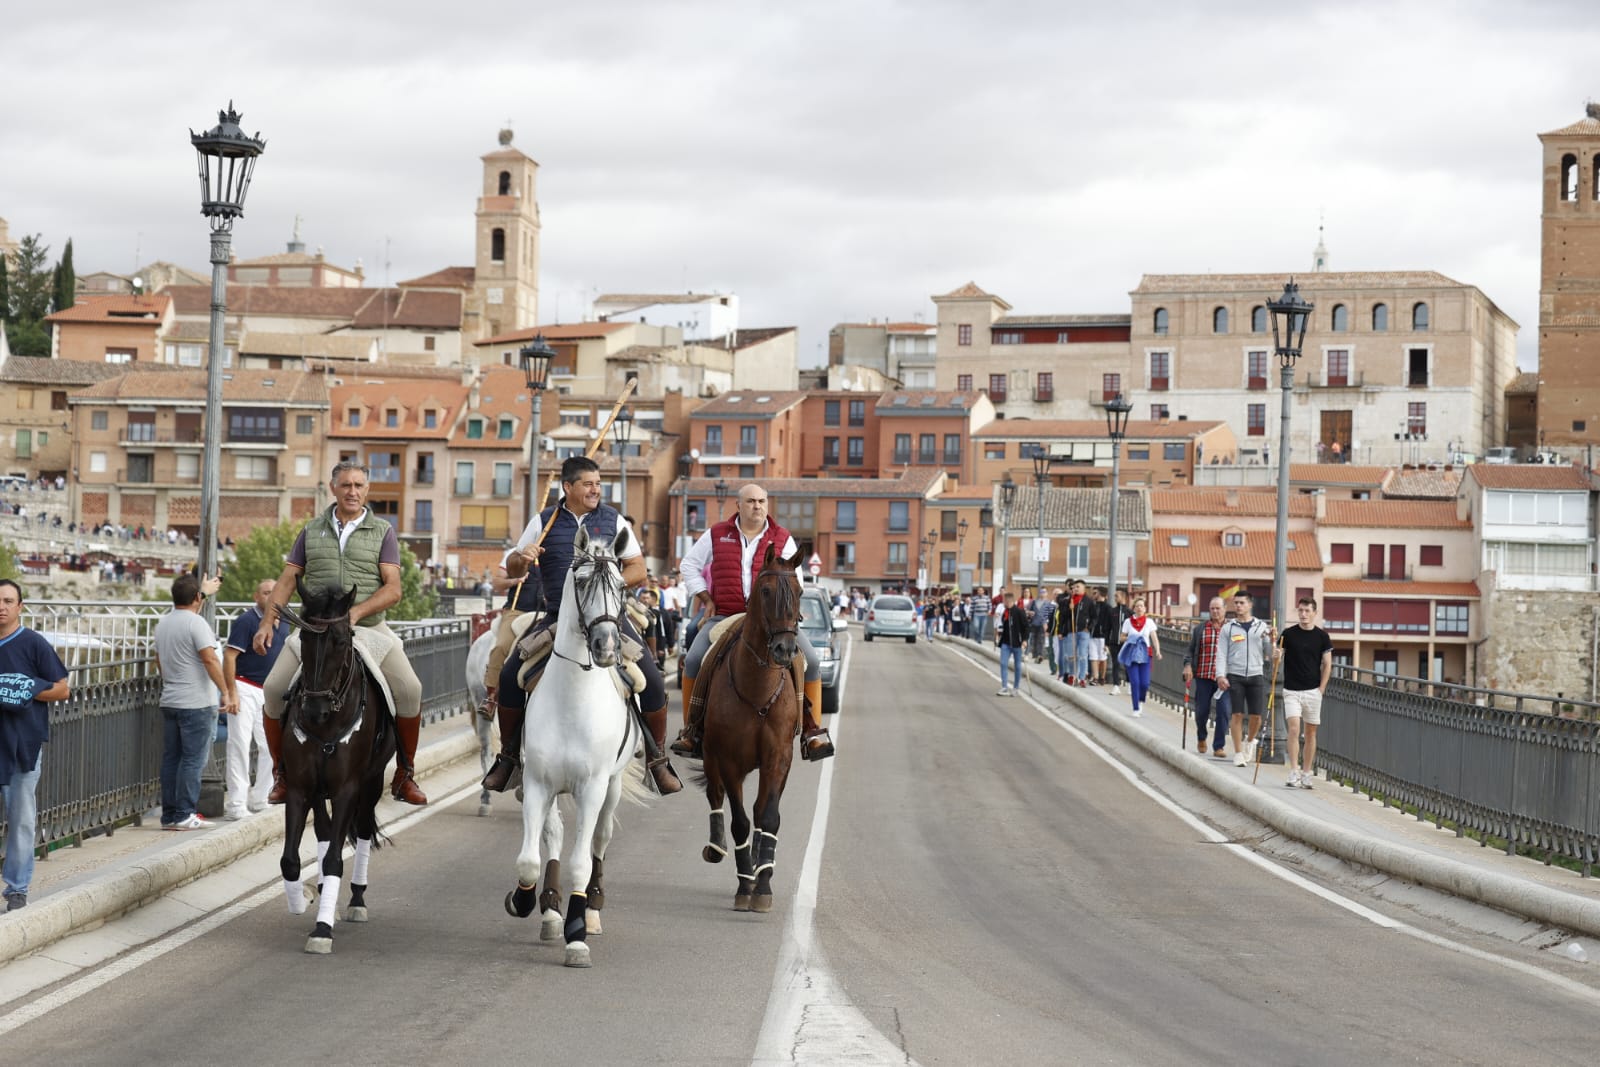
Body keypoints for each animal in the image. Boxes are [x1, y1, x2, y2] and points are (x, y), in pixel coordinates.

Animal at [278, 579, 396, 953]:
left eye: (341, 641)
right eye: (303, 638)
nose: (314, 709)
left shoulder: (347, 789)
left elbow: (333, 859)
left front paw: (322, 930)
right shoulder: (300, 788)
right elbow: (290, 860)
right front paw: (300, 900)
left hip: (372, 782)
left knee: (361, 830)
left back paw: (357, 899)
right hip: (320, 791)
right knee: (325, 831)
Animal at [499, 524, 649, 966]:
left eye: (621, 585)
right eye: (581, 582)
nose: (606, 646)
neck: (573, 698)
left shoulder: (592, 788)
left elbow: (581, 862)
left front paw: (578, 932)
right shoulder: (537, 783)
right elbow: (530, 859)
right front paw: (525, 901)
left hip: (611, 788)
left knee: (600, 839)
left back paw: (592, 910)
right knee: (553, 837)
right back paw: (549, 911)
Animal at [697, 547, 800, 915]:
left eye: (800, 591)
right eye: (765, 591)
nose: (785, 649)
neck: (757, 690)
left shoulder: (778, 758)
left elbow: (768, 817)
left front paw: (763, 885)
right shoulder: (728, 760)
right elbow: (739, 820)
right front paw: (745, 885)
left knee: (759, 810)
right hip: (710, 756)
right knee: (715, 797)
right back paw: (718, 849)